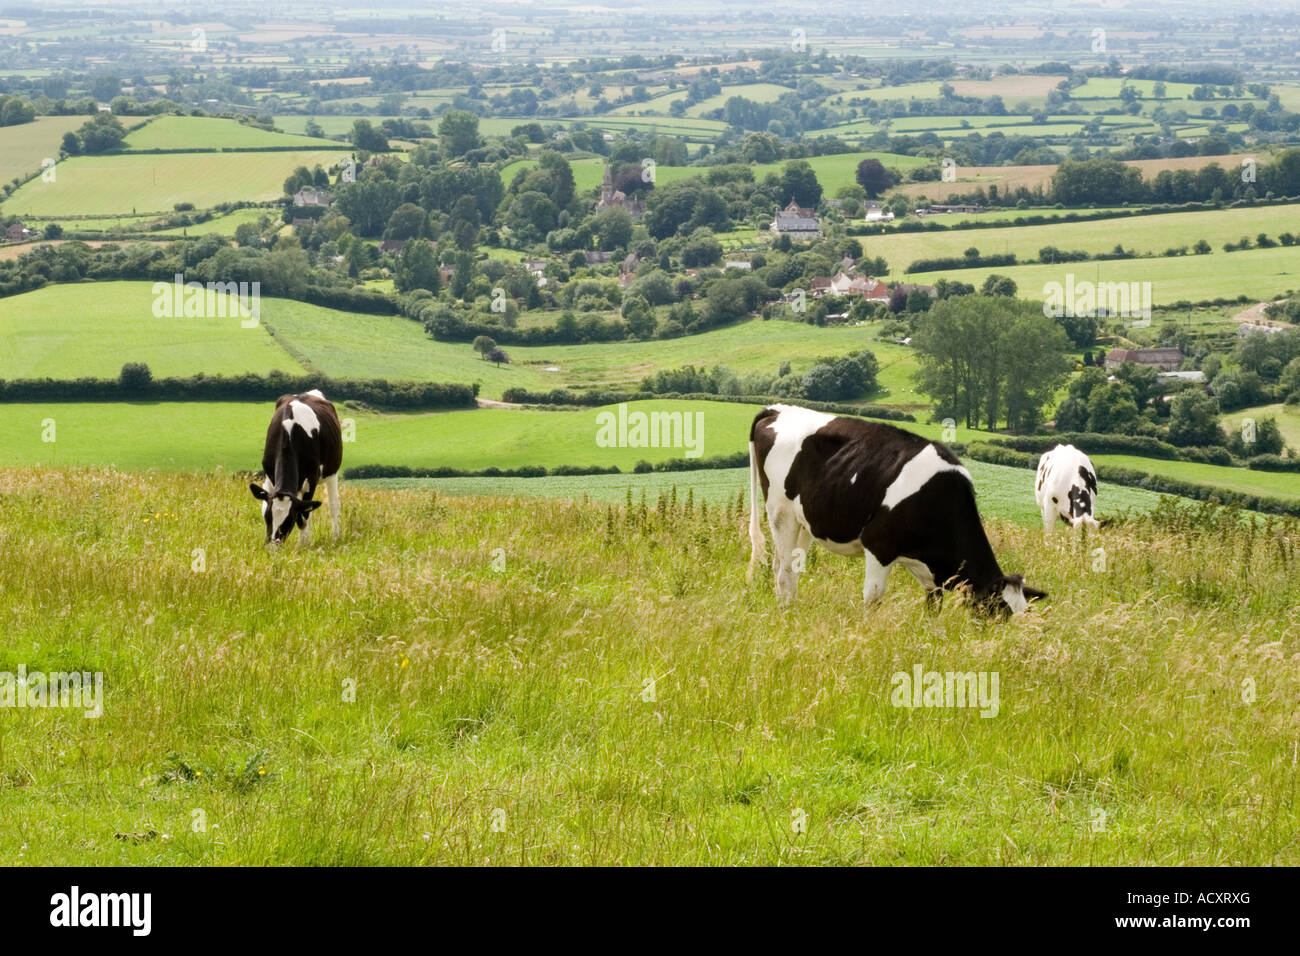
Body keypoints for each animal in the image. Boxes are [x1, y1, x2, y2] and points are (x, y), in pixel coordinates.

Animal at [246, 390, 340, 546]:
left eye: (288, 520)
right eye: (268, 518)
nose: (272, 545)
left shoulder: (311, 480)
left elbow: (302, 518)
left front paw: (302, 545)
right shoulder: (271, 477)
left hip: (332, 473)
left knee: (333, 507)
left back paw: (335, 537)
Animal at [748, 403, 1040, 613]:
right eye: (996, 609)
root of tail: (778, 409)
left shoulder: (930, 573)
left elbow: (933, 606)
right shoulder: (878, 545)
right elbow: (873, 599)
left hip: (804, 522)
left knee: (786, 565)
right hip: (780, 512)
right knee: (784, 571)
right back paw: (787, 614)